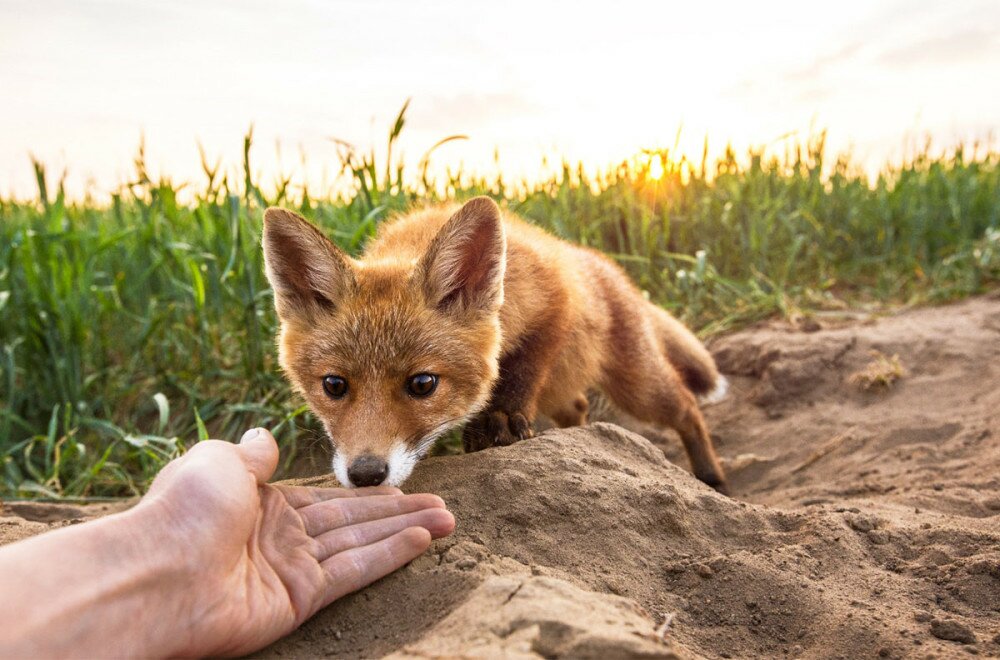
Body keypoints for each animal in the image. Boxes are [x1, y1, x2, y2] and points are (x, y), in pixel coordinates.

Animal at [262, 199, 732, 492]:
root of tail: (608, 268)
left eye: (423, 384)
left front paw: (500, 417)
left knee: (687, 406)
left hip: (638, 387)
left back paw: (712, 477)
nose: (365, 474)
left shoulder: (554, 300)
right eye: (334, 386)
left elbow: (520, 370)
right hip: (567, 392)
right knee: (579, 406)